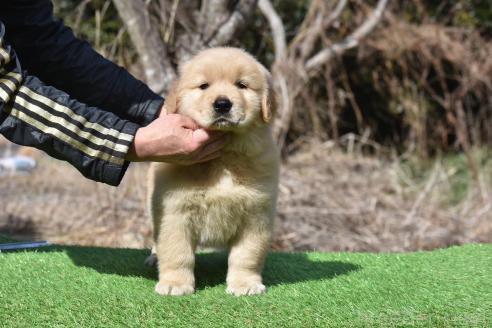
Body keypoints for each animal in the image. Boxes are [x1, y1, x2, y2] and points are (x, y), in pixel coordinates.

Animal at [146, 47, 278, 296]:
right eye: (204, 86)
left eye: (242, 85)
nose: (223, 104)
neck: (224, 158)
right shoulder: (174, 213)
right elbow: (177, 253)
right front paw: (175, 283)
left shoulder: (256, 215)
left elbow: (247, 256)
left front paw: (245, 284)